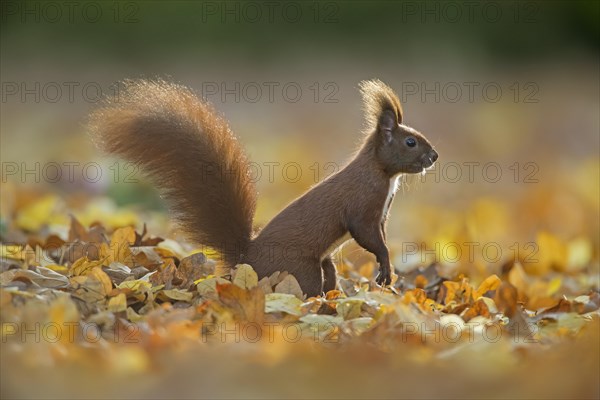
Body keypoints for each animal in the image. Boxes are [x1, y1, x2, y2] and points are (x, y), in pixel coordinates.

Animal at [88, 78, 436, 296]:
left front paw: (386, 272)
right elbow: (369, 237)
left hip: (321, 263)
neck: (383, 173)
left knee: (329, 278)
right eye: (410, 142)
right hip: (301, 268)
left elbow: (380, 236)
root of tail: (247, 260)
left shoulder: (381, 214)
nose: (434, 156)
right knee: (307, 288)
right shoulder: (363, 205)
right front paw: (385, 267)